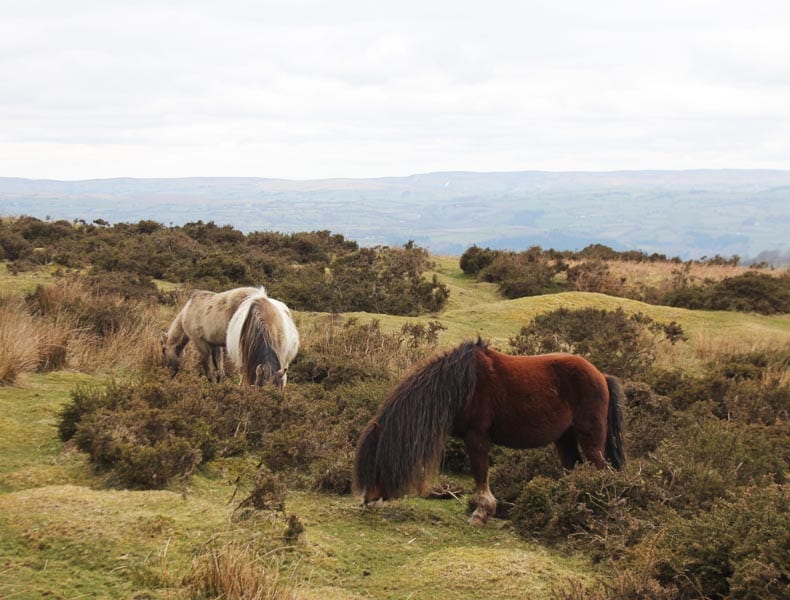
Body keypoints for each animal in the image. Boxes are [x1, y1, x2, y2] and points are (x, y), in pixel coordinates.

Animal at [356, 340, 628, 524]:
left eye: (376, 463)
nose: (368, 501)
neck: (459, 387)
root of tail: (601, 375)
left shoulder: (477, 437)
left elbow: (480, 473)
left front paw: (481, 512)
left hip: (591, 440)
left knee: (602, 472)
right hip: (565, 439)